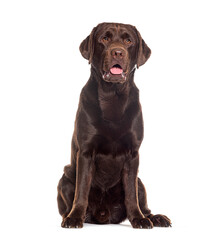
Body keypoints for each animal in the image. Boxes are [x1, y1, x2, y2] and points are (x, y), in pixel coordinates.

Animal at [57, 22, 171, 229]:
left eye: (128, 41)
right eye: (104, 38)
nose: (117, 52)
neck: (112, 96)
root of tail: (104, 215)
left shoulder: (133, 154)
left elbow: (131, 195)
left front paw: (138, 219)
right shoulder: (85, 152)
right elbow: (82, 189)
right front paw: (75, 217)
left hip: (140, 182)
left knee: (142, 200)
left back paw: (155, 217)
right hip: (66, 177)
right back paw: (68, 216)